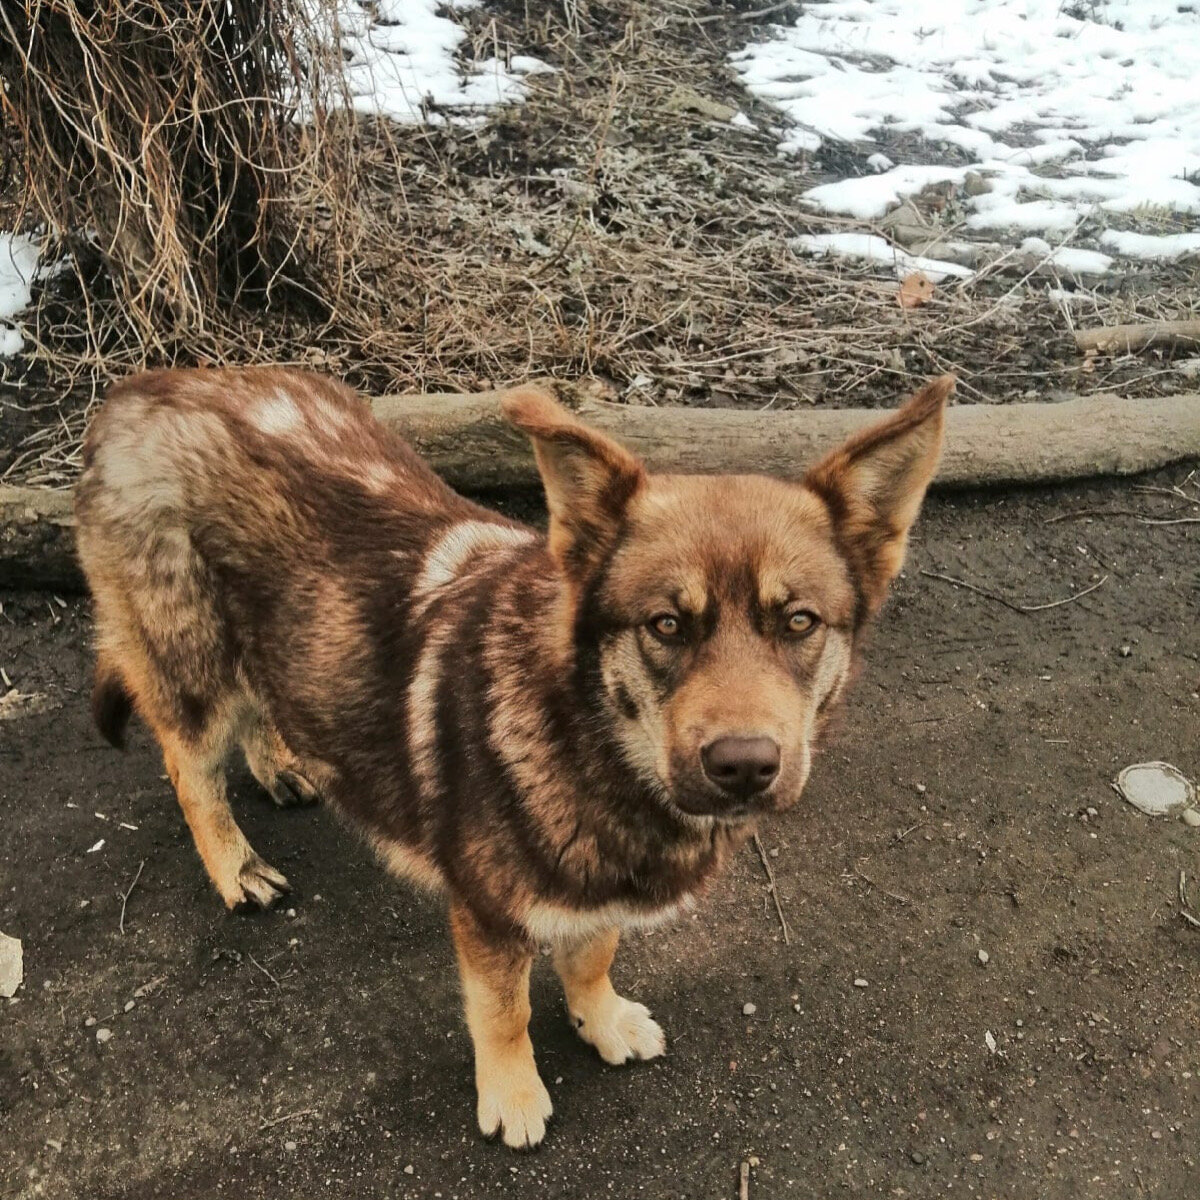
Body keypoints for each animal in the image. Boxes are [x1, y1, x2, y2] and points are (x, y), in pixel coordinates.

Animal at [75, 369, 950, 1147]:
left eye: (799, 622)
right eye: (665, 625)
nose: (743, 766)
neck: (587, 734)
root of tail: (134, 390)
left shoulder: (594, 890)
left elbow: (593, 953)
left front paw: (600, 1017)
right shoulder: (489, 915)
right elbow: (506, 1011)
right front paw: (512, 1091)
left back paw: (284, 763)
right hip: (193, 664)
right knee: (189, 770)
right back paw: (235, 866)